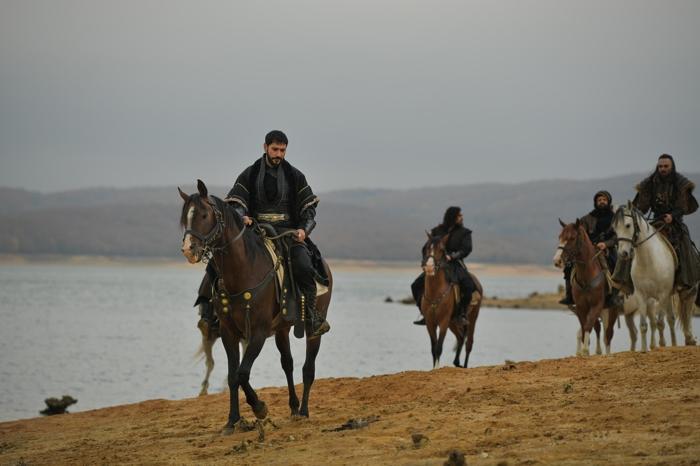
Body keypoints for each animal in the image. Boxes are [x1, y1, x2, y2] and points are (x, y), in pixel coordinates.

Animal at [180, 179, 334, 434]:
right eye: (185, 217)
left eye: (203, 214)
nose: (188, 250)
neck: (244, 270)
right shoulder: (228, 333)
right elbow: (233, 376)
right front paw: (232, 420)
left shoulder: (258, 333)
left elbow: (243, 373)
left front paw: (260, 408)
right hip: (281, 330)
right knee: (288, 364)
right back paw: (293, 407)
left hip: (314, 329)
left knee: (308, 368)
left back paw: (303, 411)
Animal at [422, 233, 482, 368]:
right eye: (427, 247)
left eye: (441, 249)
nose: (429, 267)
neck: (435, 292)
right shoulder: (430, 323)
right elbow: (433, 348)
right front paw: (433, 368)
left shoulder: (443, 322)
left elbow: (439, 347)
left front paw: (437, 368)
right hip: (453, 322)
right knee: (460, 338)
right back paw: (456, 362)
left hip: (472, 318)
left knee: (469, 343)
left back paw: (464, 366)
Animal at [552, 220, 616, 354]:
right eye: (560, 237)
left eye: (572, 238)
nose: (557, 261)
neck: (586, 276)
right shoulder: (581, 307)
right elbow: (584, 326)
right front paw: (582, 351)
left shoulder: (596, 305)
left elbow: (588, 325)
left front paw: (585, 350)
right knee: (598, 328)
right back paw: (598, 351)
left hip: (612, 310)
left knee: (608, 334)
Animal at [608, 204, 696, 350]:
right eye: (615, 228)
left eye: (628, 225)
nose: (623, 253)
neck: (648, 260)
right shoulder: (641, 295)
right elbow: (644, 326)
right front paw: (644, 350)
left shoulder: (662, 294)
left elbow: (660, 323)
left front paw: (662, 345)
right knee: (671, 319)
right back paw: (673, 343)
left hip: (685, 291)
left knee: (685, 310)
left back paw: (688, 339)